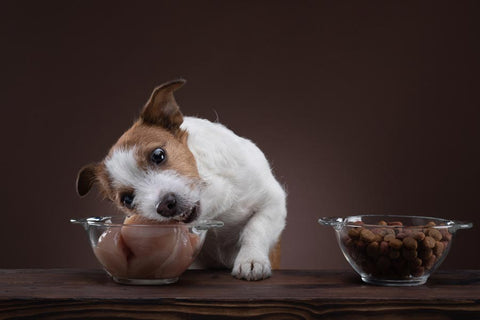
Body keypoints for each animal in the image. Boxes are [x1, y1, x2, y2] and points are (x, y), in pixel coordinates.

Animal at [75, 80, 284, 280]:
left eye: (158, 155)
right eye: (127, 200)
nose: (165, 205)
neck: (214, 206)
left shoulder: (273, 202)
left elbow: (255, 229)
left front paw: (251, 259)